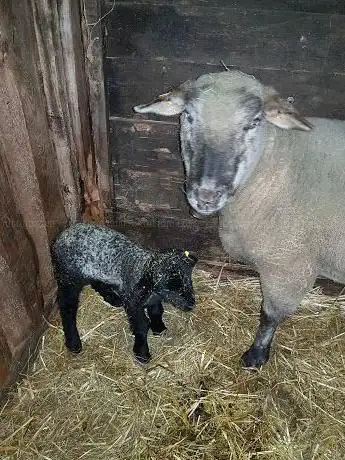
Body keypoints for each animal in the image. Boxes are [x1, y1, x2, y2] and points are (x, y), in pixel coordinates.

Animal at [50, 223, 196, 362]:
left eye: (188, 280)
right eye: (169, 289)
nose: (190, 305)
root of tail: (61, 236)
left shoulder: (152, 298)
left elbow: (156, 311)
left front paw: (159, 328)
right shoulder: (133, 303)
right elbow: (142, 325)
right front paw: (142, 353)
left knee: (96, 282)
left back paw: (113, 298)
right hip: (68, 278)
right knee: (66, 306)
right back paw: (73, 343)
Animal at [134, 70, 344, 368]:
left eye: (254, 123)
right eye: (188, 116)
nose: (206, 195)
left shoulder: (289, 266)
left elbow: (269, 317)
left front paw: (255, 356)